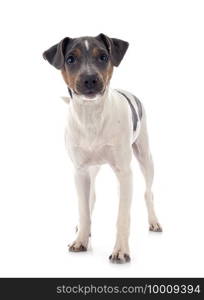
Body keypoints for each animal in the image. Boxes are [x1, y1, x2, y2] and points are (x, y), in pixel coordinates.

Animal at [43, 33, 163, 262]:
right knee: (91, 199)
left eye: (103, 57)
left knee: (148, 192)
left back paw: (154, 221)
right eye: (70, 59)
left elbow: (123, 216)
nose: (90, 79)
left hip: (145, 157)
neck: (92, 116)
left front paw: (121, 250)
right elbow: (84, 210)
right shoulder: (80, 172)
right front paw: (81, 239)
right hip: (92, 169)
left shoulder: (125, 174)